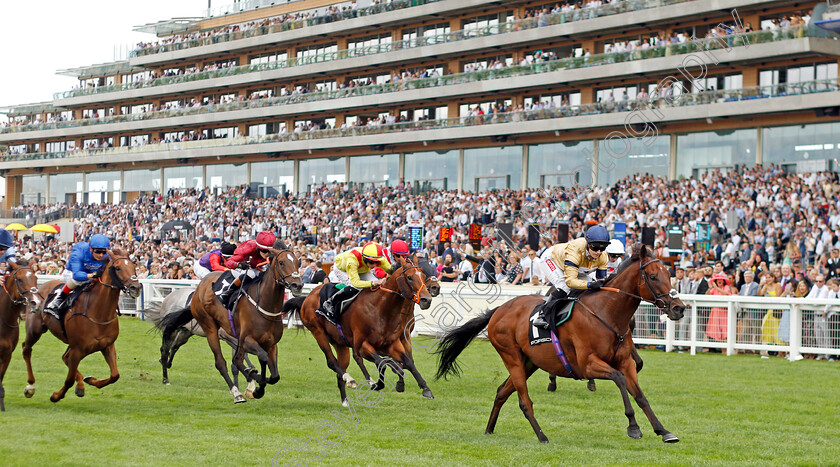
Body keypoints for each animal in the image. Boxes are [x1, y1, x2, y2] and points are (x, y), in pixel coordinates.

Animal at [21, 250, 141, 404]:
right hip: (35, 331)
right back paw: (30, 387)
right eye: (118, 268)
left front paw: (90, 380)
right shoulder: (77, 349)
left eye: (133, 266)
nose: (135, 288)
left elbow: (115, 375)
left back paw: (81, 384)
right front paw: (56, 396)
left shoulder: (107, 345)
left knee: (64, 357)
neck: (98, 313)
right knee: (26, 349)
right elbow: (69, 380)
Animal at [158, 247, 302, 404]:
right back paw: (236, 393)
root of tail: (198, 290)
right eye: (281, 262)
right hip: (209, 328)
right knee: (219, 362)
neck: (263, 304)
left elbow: (274, 375)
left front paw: (256, 385)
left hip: (189, 332)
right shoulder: (245, 339)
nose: (298, 285)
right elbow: (261, 358)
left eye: (297, 262)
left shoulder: (270, 344)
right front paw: (256, 384)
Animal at [286, 258, 436, 408]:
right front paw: (379, 383)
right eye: (410, 277)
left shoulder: (392, 344)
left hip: (339, 343)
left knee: (340, 370)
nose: (427, 300)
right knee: (332, 362)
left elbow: (409, 362)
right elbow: (382, 363)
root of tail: (308, 297)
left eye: (423, 276)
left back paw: (345, 401)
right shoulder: (362, 346)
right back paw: (350, 379)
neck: (381, 308)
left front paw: (425, 389)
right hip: (318, 332)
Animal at [436, 245, 684, 446]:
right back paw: (542, 436)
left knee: (501, 392)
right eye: (653, 276)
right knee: (524, 401)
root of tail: (499, 310)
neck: (607, 313)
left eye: (669, 274)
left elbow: (640, 395)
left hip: (529, 362)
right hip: (512, 357)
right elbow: (620, 380)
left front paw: (664, 431)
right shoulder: (588, 365)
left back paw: (489, 429)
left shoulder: (625, 362)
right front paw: (633, 427)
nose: (679, 308)